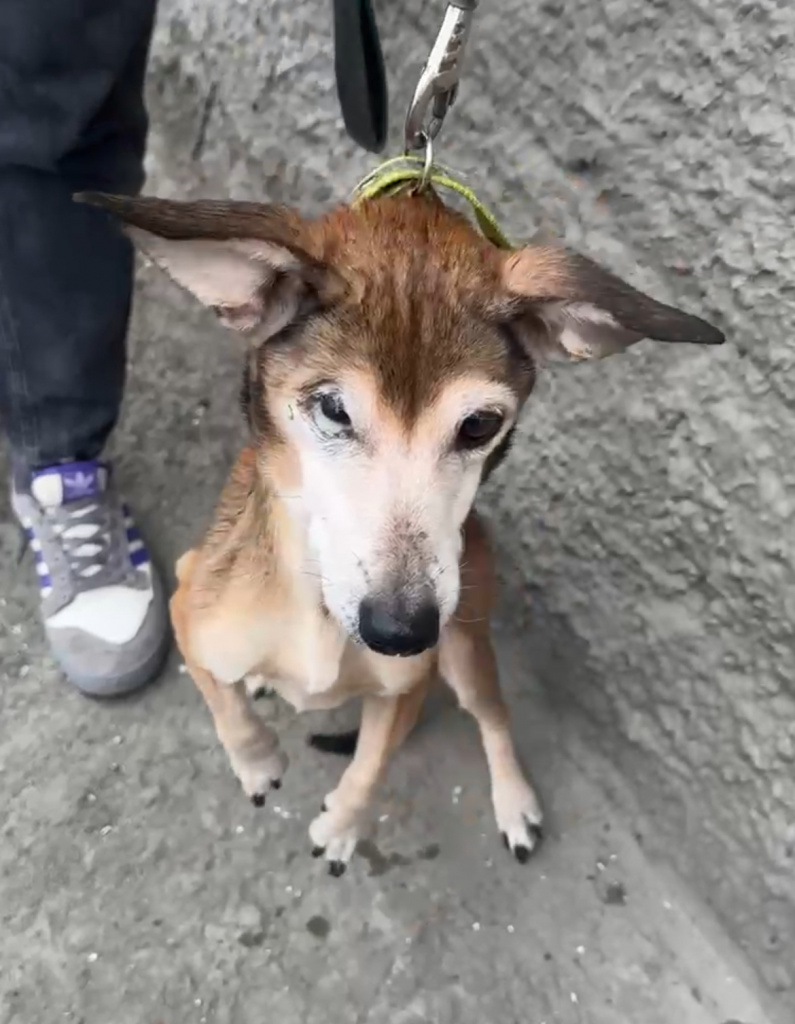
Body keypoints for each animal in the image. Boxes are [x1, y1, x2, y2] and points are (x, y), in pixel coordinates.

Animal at [82, 184, 725, 872]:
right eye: (333, 409)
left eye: (479, 425)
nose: (401, 631)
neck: (316, 613)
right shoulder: (188, 599)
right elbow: (222, 701)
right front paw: (257, 762)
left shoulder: (405, 687)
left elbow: (371, 765)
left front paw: (342, 824)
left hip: (466, 644)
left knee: (493, 713)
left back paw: (514, 800)